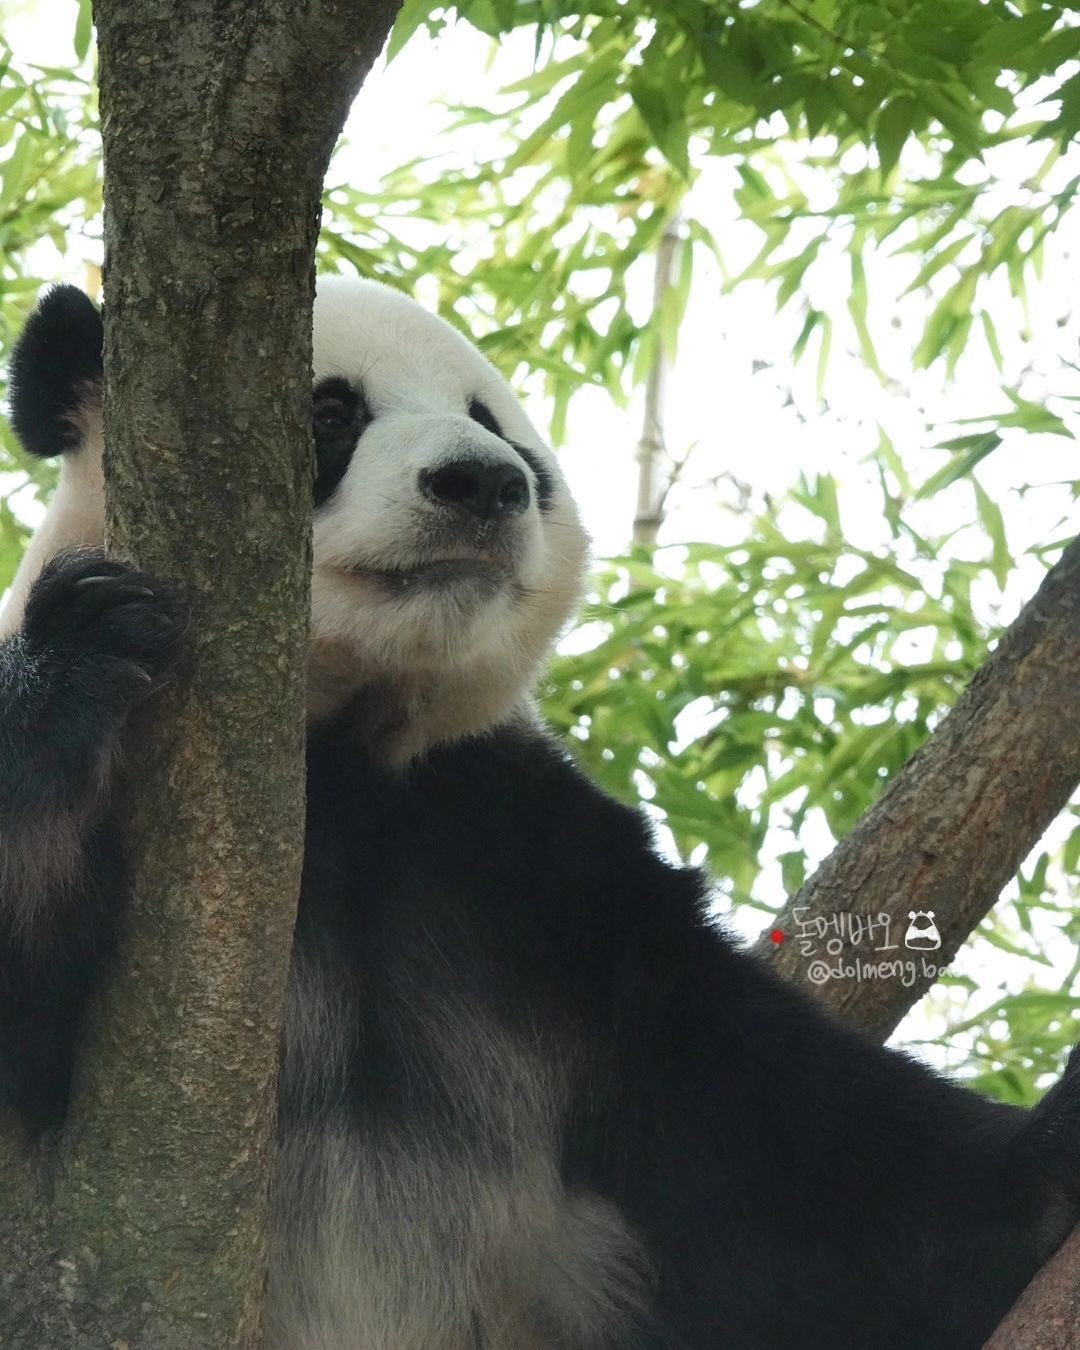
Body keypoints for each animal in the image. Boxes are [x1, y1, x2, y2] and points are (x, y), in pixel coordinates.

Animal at [2, 276, 1080, 1350]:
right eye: (332, 413)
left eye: (498, 430)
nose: (484, 484)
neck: (339, 753)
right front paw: (71, 655)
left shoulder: (521, 861)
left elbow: (776, 1132)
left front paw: (1041, 1172)